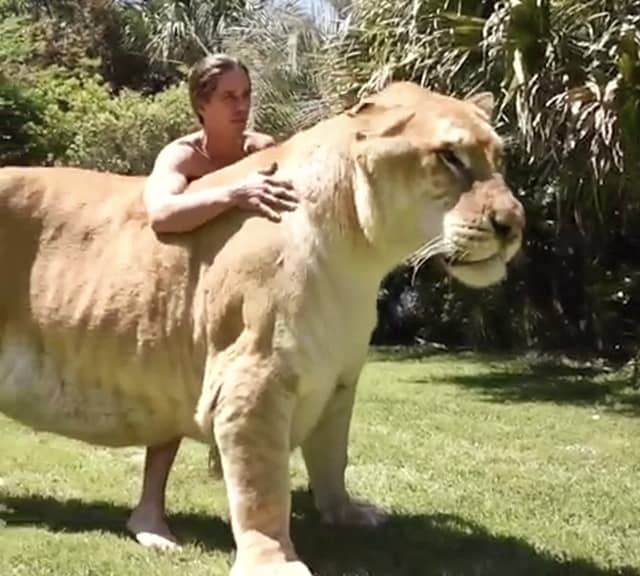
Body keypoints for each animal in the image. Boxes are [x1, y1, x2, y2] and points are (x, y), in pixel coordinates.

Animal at [0, 82, 524, 576]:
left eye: (498, 157)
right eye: (449, 156)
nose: (513, 225)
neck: (359, 254)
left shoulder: (340, 379)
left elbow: (332, 454)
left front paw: (345, 513)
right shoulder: (252, 380)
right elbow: (262, 489)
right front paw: (275, 563)